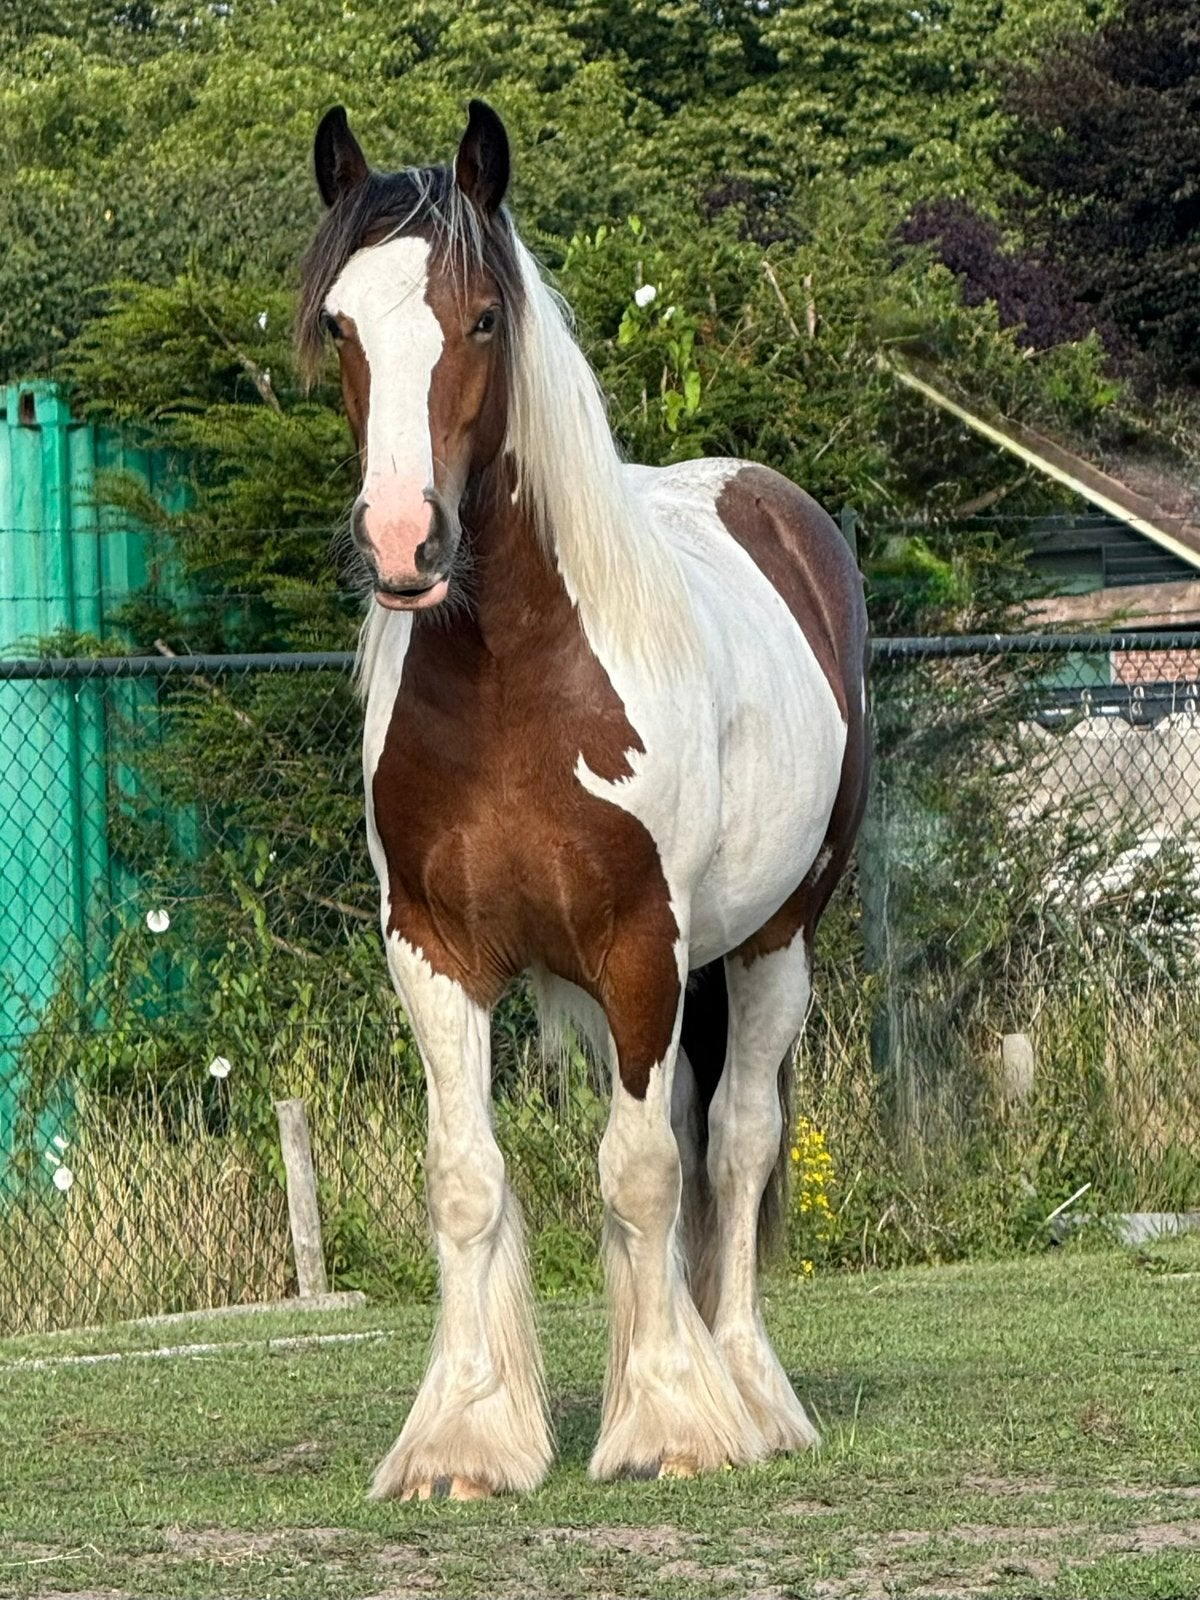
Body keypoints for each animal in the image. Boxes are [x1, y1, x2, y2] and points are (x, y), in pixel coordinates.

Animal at [298, 99, 869, 1502]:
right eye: (341, 324)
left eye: (480, 318)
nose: (403, 543)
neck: (520, 681)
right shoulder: (434, 953)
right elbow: (467, 1177)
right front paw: (464, 1433)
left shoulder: (638, 947)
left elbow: (653, 1169)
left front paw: (671, 1420)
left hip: (770, 948)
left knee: (732, 1139)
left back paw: (745, 1388)